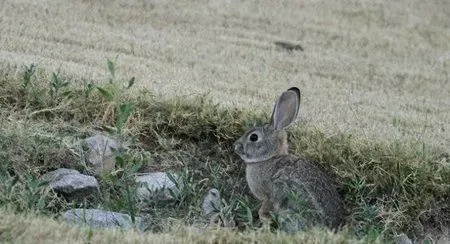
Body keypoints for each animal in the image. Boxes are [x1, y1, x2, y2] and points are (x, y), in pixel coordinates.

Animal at [234, 86, 342, 232]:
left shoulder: (269, 195)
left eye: (254, 137)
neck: (269, 158)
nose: (236, 146)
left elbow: (265, 209)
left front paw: (263, 224)